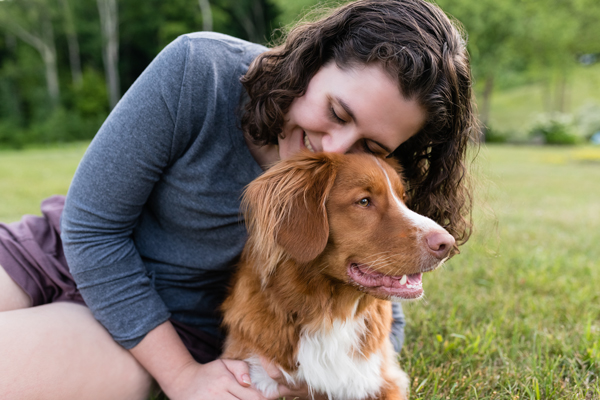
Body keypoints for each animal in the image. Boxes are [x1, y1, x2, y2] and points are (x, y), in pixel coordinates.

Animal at [221, 152, 454, 398]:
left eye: (403, 199)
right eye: (364, 201)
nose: (448, 244)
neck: (333, 314)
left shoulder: (383, 378)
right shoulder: (254, 370)